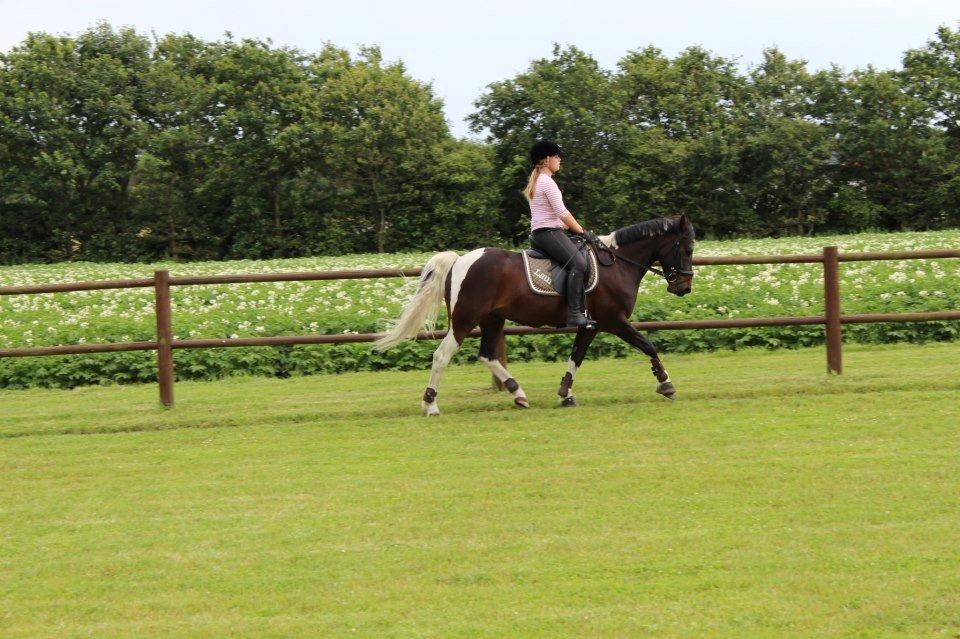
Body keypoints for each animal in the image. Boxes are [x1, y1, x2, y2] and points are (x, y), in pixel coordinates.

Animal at [372, 212, 692, 418]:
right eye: (686, 248)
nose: (684, 288)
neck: (617, 264)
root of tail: (460, 260)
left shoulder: (591, 325)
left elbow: (576, 357)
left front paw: (566, 394)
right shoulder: (614, 320)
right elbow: (648, 345)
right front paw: (666, 384)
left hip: (493, 319)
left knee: (487, 355)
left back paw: (518, 393)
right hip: (465, 320)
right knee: (441, 355)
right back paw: (431, 405)